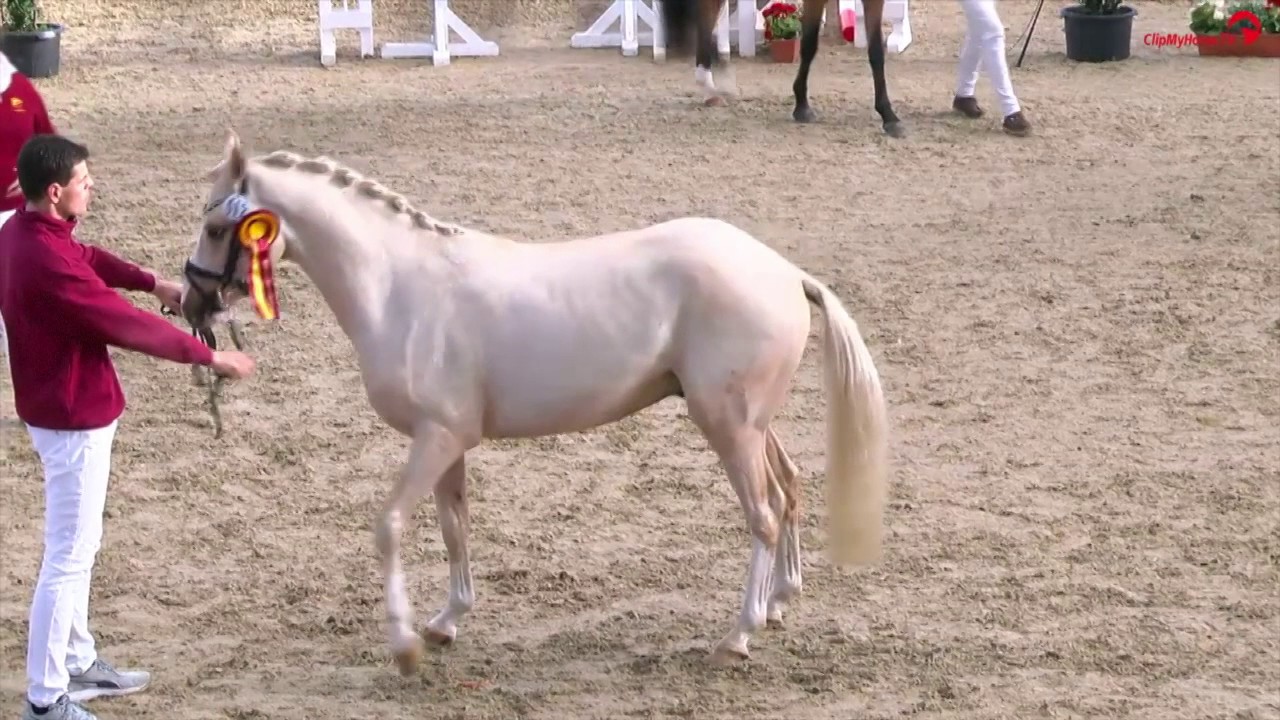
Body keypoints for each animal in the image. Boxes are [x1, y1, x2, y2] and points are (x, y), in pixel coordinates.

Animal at [178, 130, 891, 673]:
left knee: (763, 516)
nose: (190, 302)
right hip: (748, 423)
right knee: (790, 487)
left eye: (216, 225)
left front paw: (406, 646)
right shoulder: (449, 444)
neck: (401, 289)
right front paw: (447, 621)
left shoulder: (436, 438)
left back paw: (737, 634)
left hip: (728, 427)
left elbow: (389, 527)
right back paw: (778, 603)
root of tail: (784, 271)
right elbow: (455, 528)